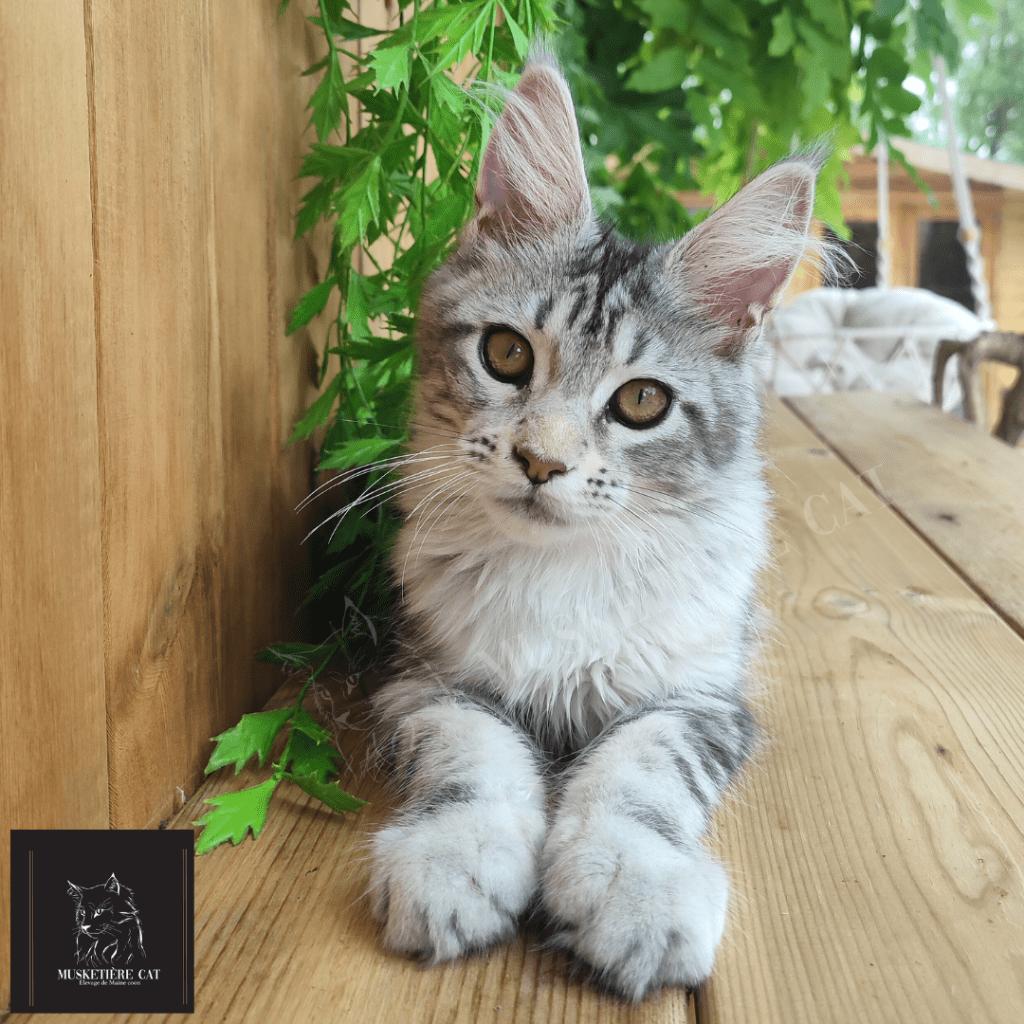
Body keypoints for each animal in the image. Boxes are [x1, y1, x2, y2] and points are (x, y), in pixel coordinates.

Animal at [364, 51, 831, 1000]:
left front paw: (634, 891)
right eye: (506, 354)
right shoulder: (425, 675)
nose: (540, 461)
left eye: (642, 401)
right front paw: (454, 860)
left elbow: (636, 774)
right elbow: (476, 754)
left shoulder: (697, 695)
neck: (561, 572)